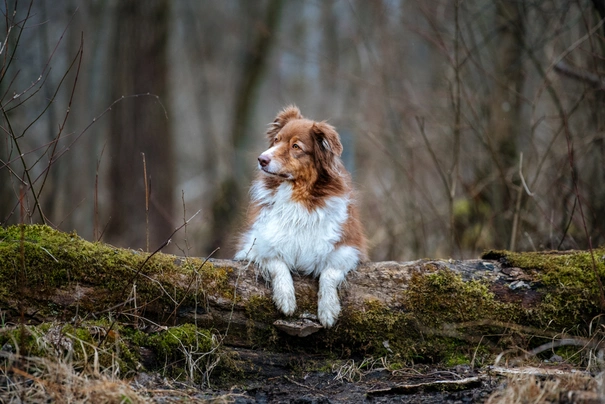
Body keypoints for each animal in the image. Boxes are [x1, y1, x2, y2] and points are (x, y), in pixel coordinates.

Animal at [234, 105, 366, 328]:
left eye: (296, 146)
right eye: (276, 140)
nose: (261, 159)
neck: (298, 197)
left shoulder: (347, 248)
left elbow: (329, 273)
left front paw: (328, 310)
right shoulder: (257, 244)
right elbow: (277, 263)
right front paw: (286, 299)